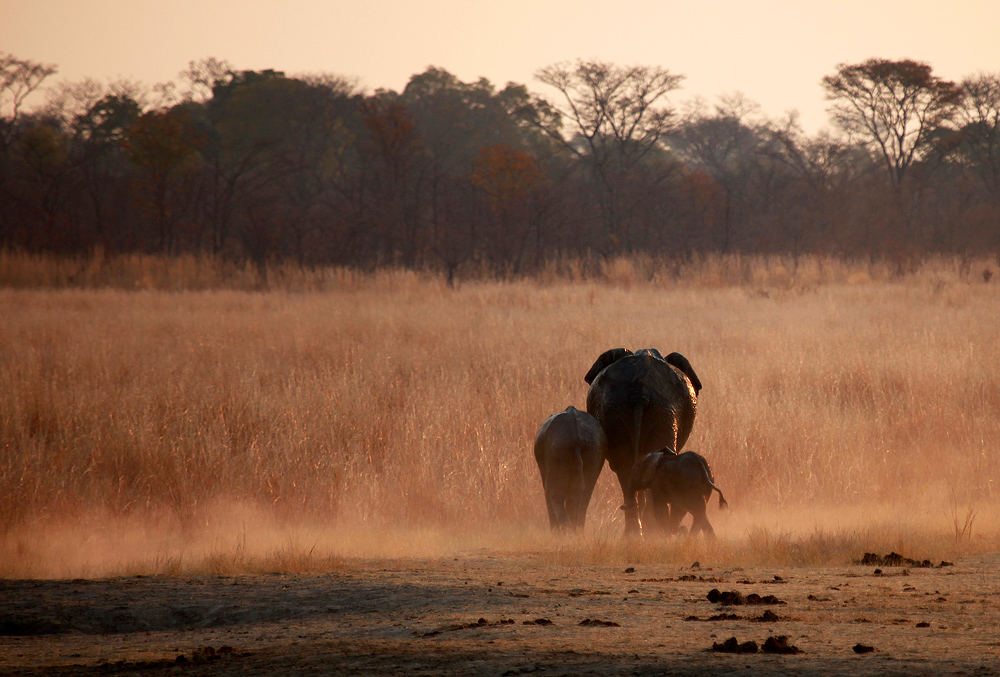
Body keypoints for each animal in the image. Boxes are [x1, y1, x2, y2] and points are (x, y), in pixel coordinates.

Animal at [536, 404, 604, 532]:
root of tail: (577, 438)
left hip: (557, 453)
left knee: (554, 492)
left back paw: (565, 529)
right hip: (593, 452)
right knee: (583, 495)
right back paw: (575, 530)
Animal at [584, 348, 700, 532]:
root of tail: (640, 391)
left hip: (616, 411)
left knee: (625, 467)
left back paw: (635, 531)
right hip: (660, 412)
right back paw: (651, 528)